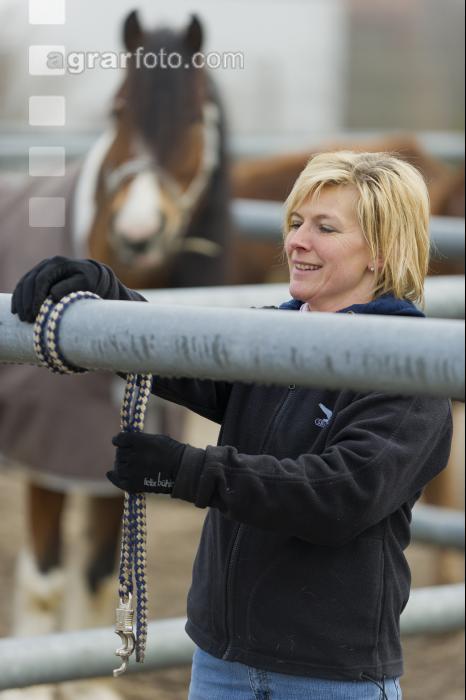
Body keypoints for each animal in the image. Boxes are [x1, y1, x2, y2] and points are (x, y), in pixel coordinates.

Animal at [0, 10, 230, 700]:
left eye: (193, 116)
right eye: (119, 108)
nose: (138, 232)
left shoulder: (108, 465)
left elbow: (102, 575)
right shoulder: (48, 461)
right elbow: (45, 583)